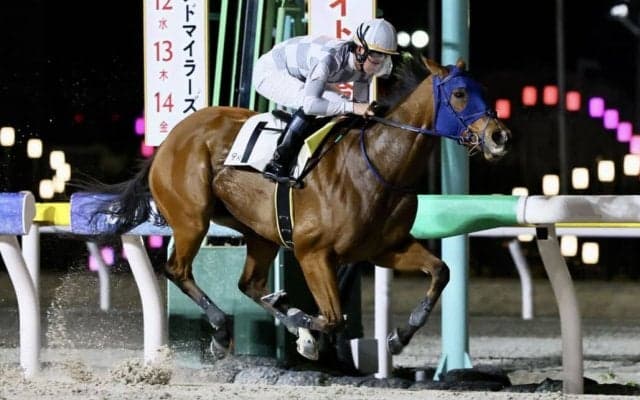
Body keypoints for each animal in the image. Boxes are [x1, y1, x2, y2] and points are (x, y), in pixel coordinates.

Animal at [87, 55, 511, 363]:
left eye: (484, 90)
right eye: (459, 93)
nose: (499, 136)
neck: (377, 165)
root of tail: (170, 139)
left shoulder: (386, 248)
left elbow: (441, 271)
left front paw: (398, 337)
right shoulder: (313, 253)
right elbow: (333, 318)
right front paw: (306, 331)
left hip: (260, 231)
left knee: (248, 284)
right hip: (192, 218)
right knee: (178, 270)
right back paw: (223, 332)